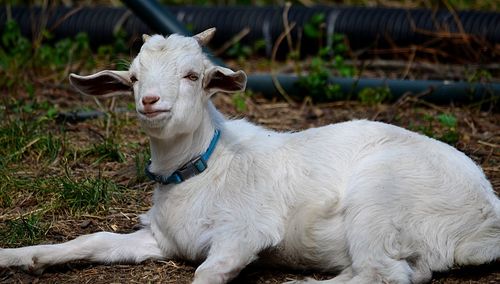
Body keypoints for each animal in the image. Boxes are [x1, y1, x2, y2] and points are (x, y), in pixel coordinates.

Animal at [0, 27, 500, 284]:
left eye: (193, 75)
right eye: (134, 78)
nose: (151, 102)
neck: (201, 169)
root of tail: (486, 218)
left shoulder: (244, 233)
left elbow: (208, 273)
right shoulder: (164, 239)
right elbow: (94, 240)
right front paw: (19, 256)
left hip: (379, 196)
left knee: (384, 272)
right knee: (403, 272)